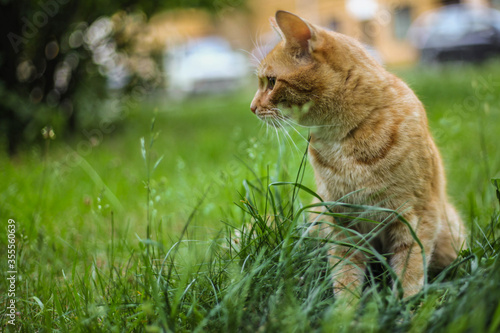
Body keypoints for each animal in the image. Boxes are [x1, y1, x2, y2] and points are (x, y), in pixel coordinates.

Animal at [252, 11, 466, 298]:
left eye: (272, 82)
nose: (252, 108)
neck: (346, 139)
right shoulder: (340, 220)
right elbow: (345, 275)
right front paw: (345, 309)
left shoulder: (417, 214)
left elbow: (409, 270)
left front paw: (407, 305)